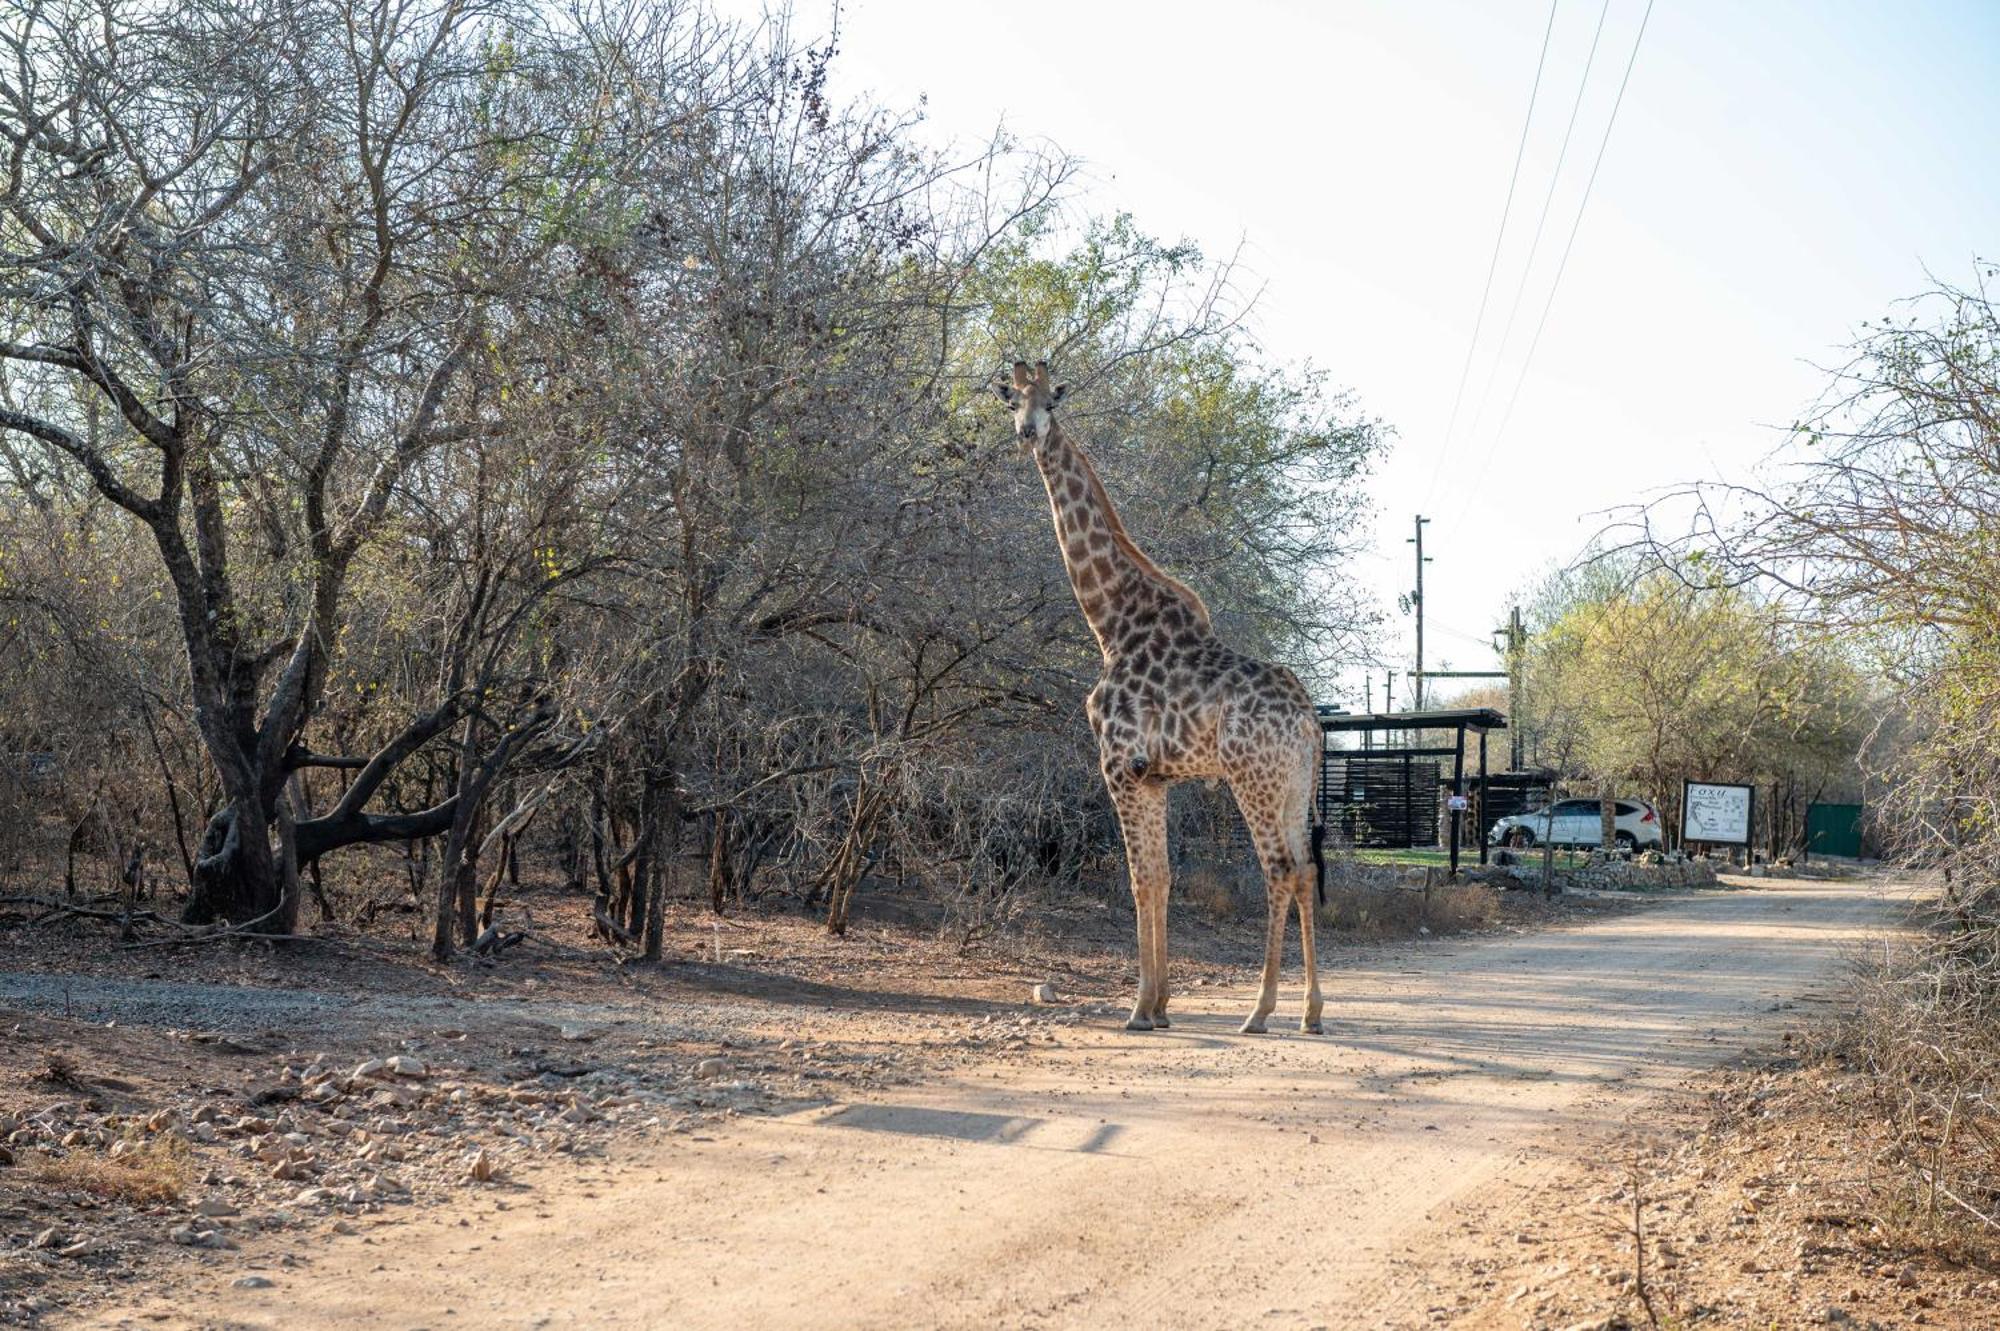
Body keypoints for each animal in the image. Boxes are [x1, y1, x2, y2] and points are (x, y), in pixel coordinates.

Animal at [988, 357, 1328, 1031]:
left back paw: (1259, 1011)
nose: (1027, 433)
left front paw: (1141, 1007)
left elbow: (1139, 879)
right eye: (1013, 400)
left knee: (1278, 870)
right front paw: (1161, 1005)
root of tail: (1309, 721)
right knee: (1305, 870)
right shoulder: (1155, 775)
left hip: (1252, 777)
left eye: (1051, 401)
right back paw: (1311, 1011)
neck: (1109, 622)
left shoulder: (1119, 764)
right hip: (1293, 783)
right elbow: (1163, 878)